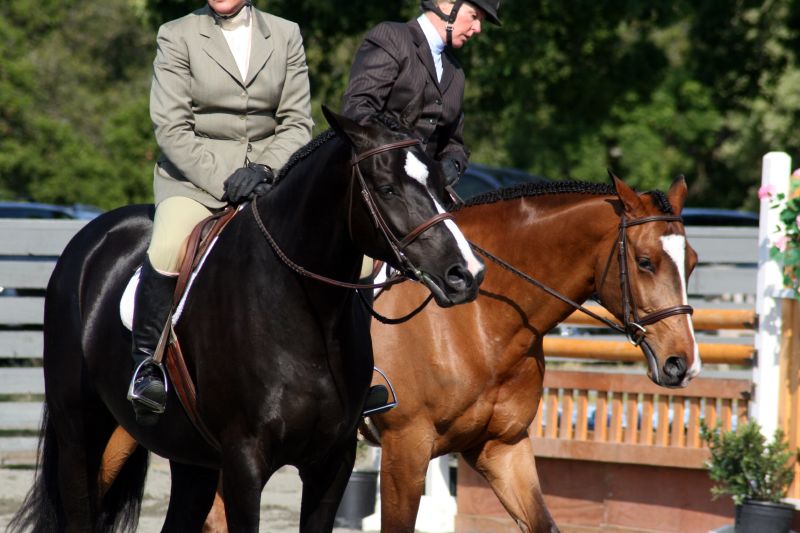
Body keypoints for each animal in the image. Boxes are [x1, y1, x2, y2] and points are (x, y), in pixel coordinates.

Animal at [7, 107, 482, 532]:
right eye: (386, 189)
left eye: (441, 183)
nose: (466, 274)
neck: (304, 311)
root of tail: (89, 239)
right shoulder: (244, 462)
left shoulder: (331, 464)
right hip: (80, 433)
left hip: (191, 456)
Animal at [366, 174, 696, 528]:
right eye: (645, 262)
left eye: (692, 263)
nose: (682, 364)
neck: (477, 322)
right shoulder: (406, 446)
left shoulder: (502, 446)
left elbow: (542, 522)